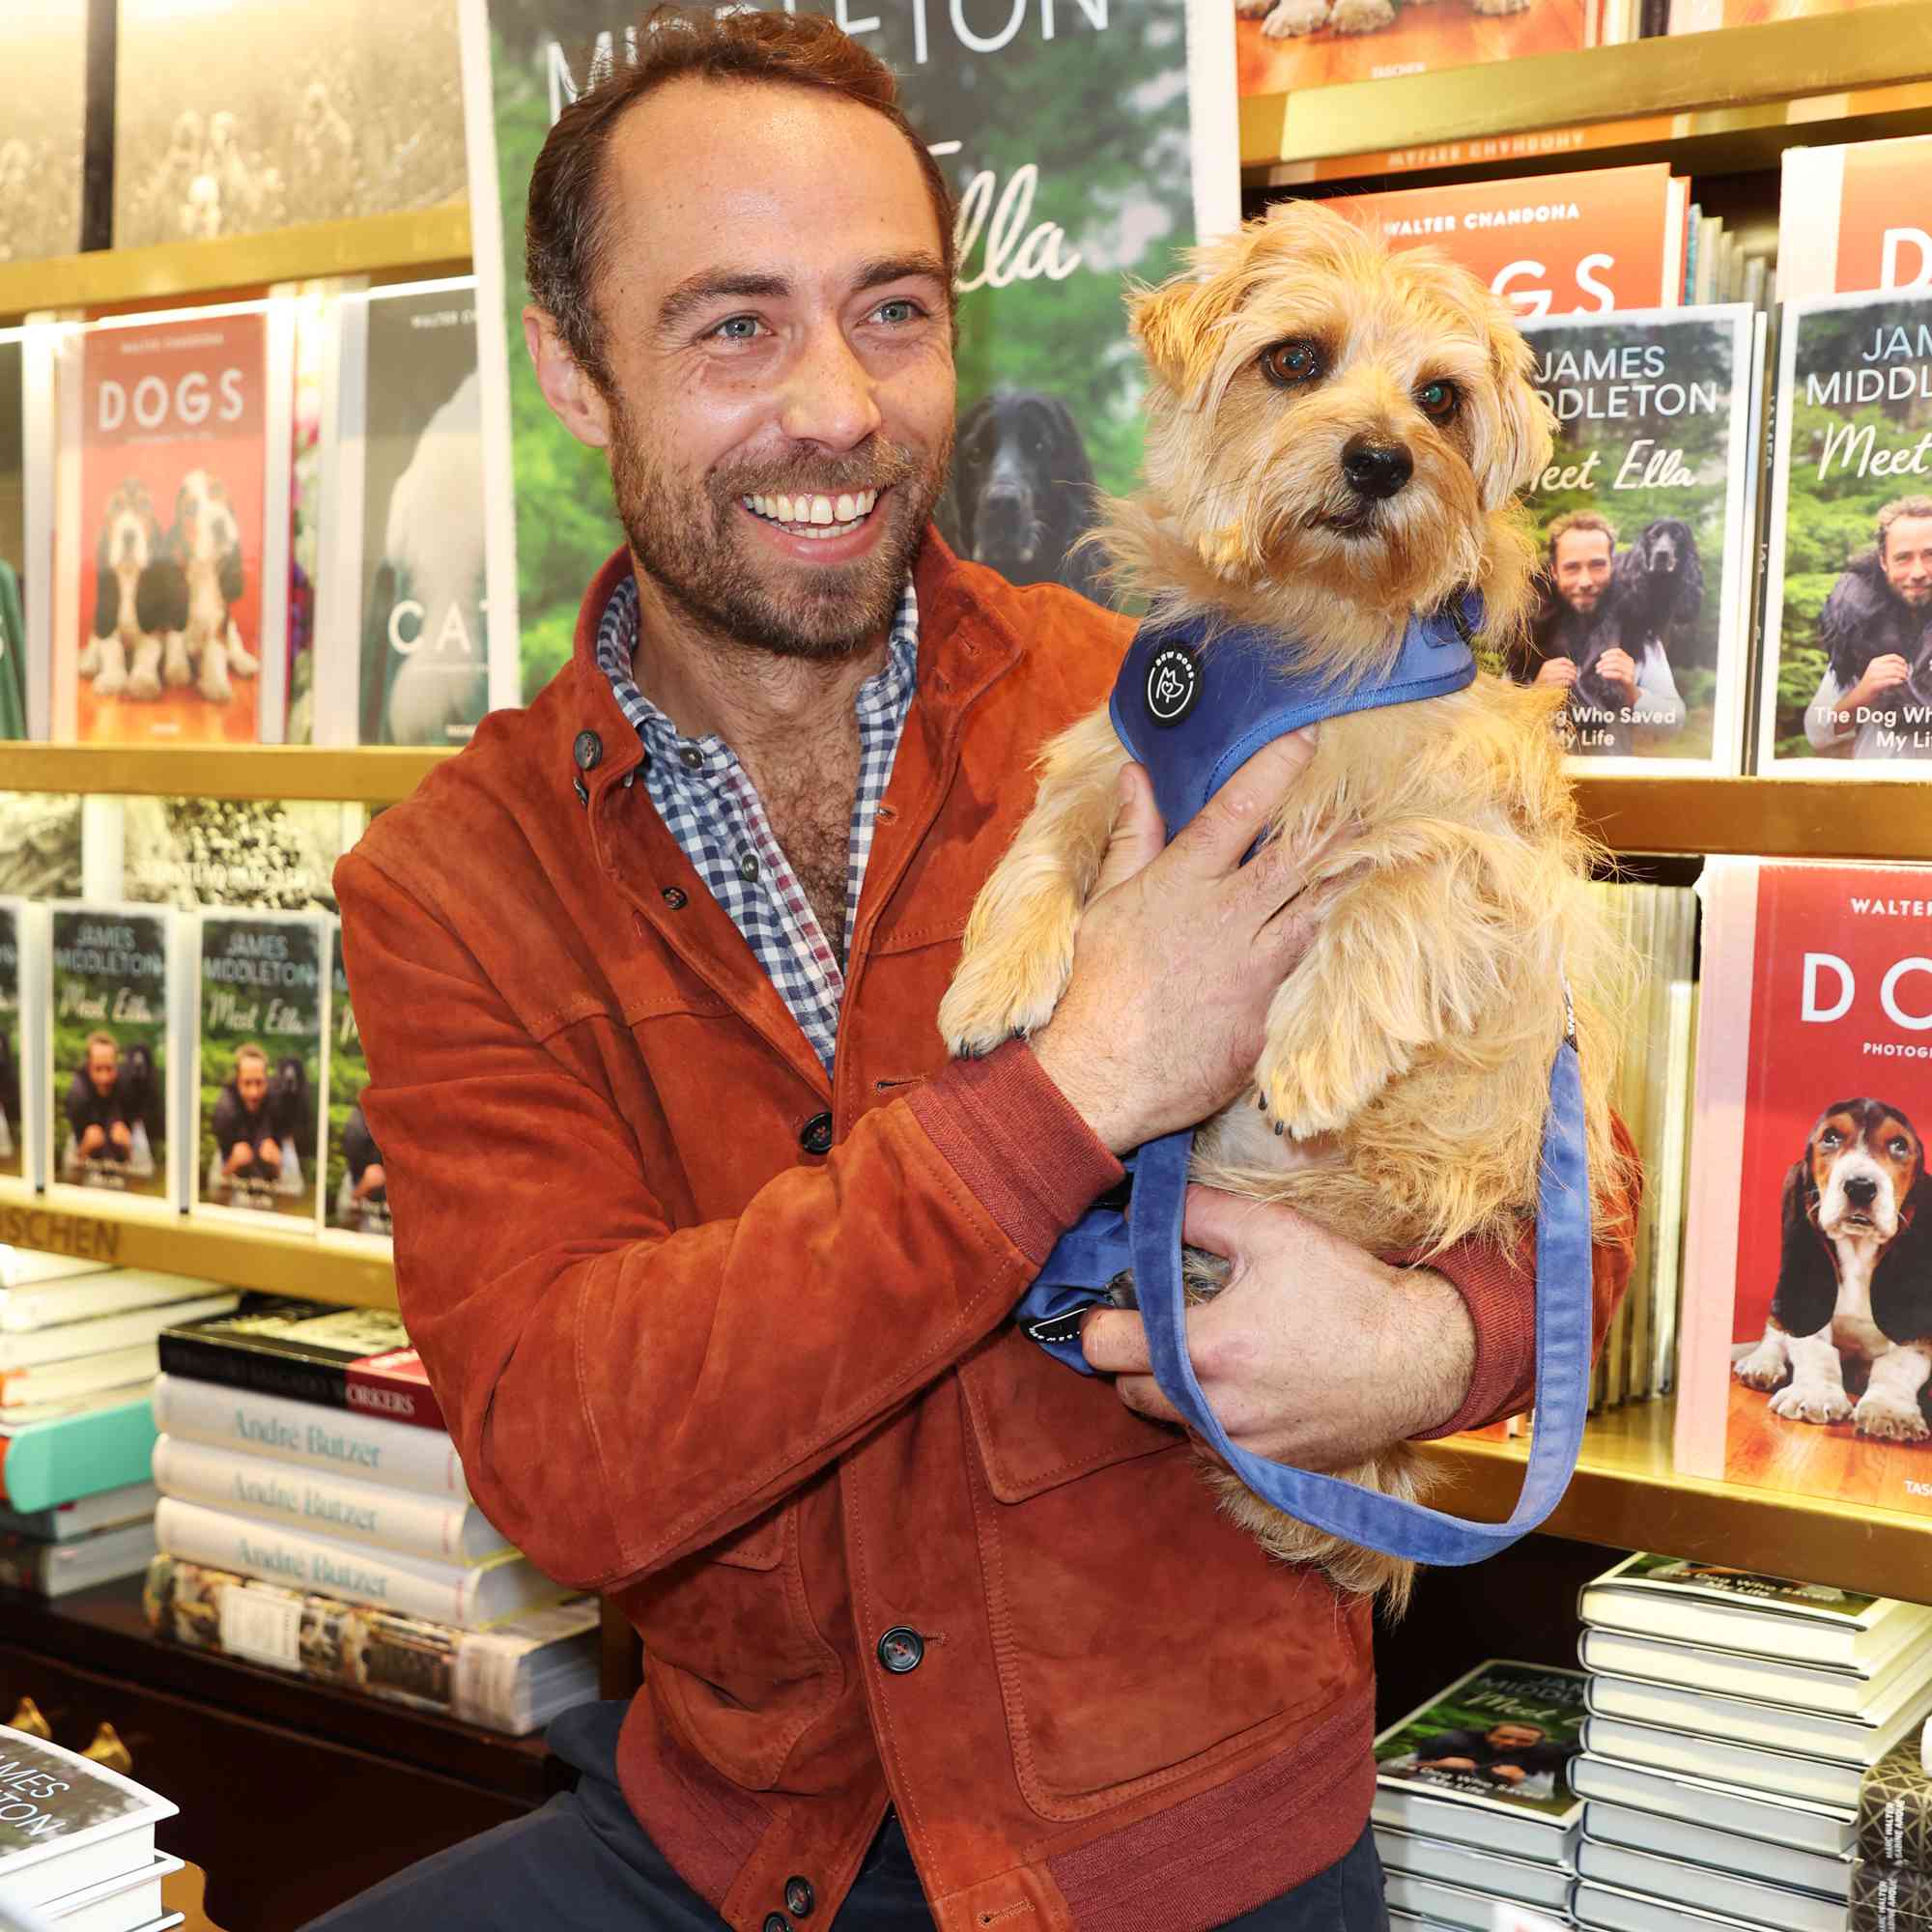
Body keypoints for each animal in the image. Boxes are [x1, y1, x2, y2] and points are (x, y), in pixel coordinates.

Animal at [935, 204, 1631, 1607]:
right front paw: (995, 977)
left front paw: (1313, 1046)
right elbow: (1044, 841)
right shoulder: (1118, 754)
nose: (1378, 460)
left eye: (1439, 397)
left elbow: (1400, 880)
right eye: (1295, 360)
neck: (1303, 628)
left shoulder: (1491, 852)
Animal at [1677, 862, 1932, 1507]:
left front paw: (1891, 1412)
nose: (1861, 1188)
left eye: (1900, 1146)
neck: (1862, 1261)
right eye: (1830, 1139)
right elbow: (1813, 1344)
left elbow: (1901, 1362)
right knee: (1776, 1327)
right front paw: (1815, 1394)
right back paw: (1762, 1365)